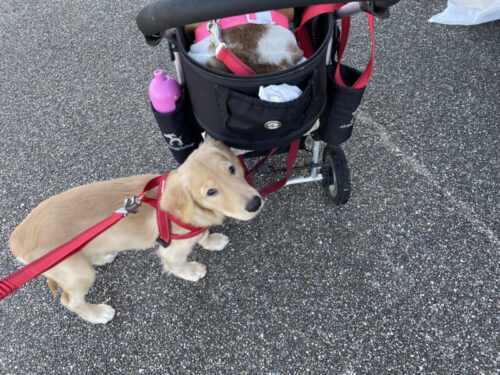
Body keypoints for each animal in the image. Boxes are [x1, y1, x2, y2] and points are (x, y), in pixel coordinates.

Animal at [9, 142, 262, 324]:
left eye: (231, 169)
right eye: (210, 191)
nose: (255, 203)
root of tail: (16, 240)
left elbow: (202, 233)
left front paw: (212, 240)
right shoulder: (171, 249)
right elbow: (177, 264)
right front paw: (191, 271)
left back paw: (103, 256)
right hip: (77, 272)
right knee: (70, 301)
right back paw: (97, 314)